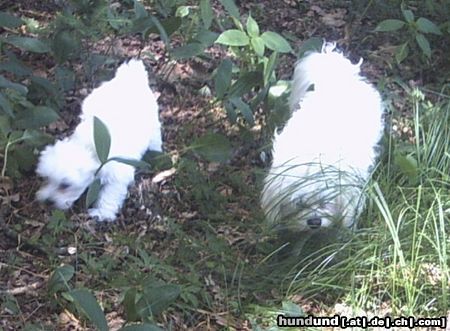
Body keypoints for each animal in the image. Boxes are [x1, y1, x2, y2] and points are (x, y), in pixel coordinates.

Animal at [35, 59, 162, 223]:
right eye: (46, 179)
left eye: (65, 185)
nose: (48, 201)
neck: (91, 147)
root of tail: (130, 75)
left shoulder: (117, 176)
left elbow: (110, 194)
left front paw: (102, 213)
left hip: (152, 124)